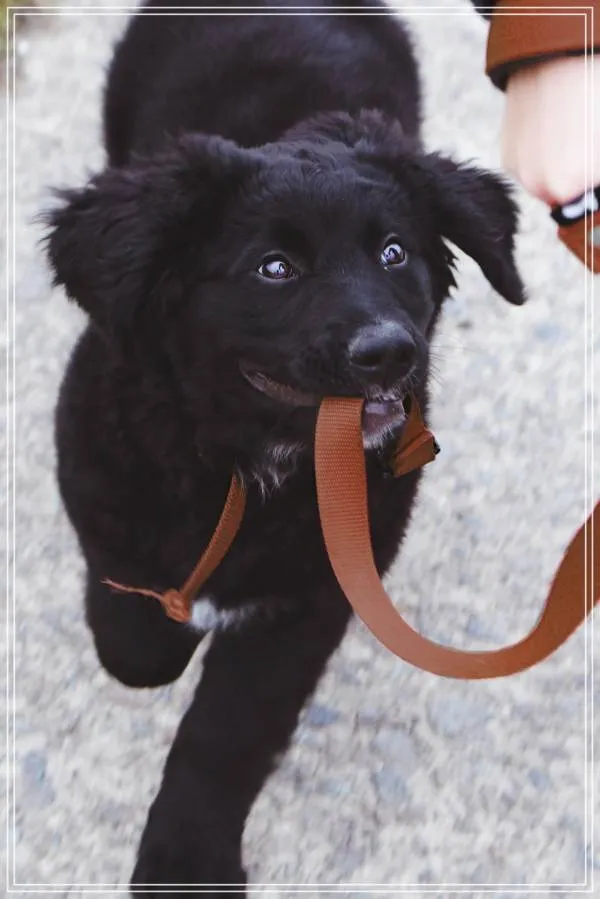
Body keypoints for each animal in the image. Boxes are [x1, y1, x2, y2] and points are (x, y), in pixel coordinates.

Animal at [44, 0, 525, 894]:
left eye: (395, 252)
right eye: (274, 268)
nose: (390, 352)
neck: (252, 459)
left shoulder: (315, 593)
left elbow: (224, 737)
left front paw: (184, 858)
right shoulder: (104, 478)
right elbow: (133, 638)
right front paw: (166, 631)